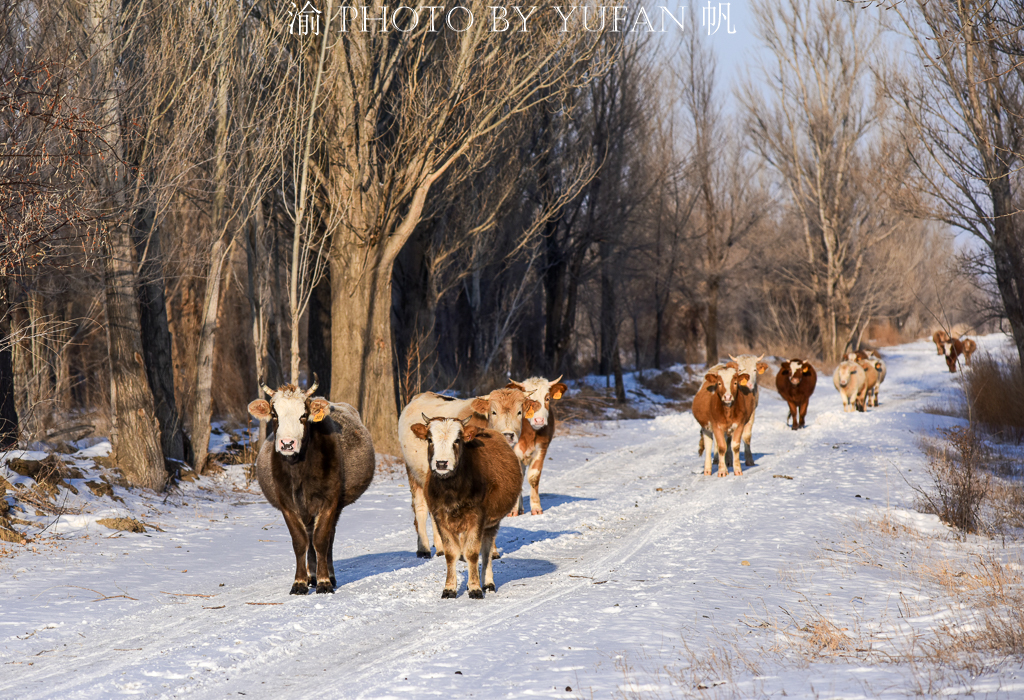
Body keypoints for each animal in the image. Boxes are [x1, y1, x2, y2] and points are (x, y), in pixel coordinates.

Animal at [247, 376, 376, 597]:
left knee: (328, 537)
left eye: (303, 415)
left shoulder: (329, 501)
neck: (298, 471)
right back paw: (311, 576)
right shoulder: (287, 504)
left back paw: (328, 576)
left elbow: (321, 540)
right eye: (275, 415)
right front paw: (299, 582)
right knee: (309, 537)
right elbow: (300, 542)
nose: (287, 443)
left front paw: (324, 582)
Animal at [397, 388, 540, 556]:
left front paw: (491, 551)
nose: (508, 435)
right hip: (413, 473)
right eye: (493, 412)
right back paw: (424, 549)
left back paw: (440, 547)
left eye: (519, 412)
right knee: (420, 508)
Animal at [407, 415, 524, 601]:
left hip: (491, 524)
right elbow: (451, 553)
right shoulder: (441, 519)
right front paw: (449, 588)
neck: (451, 490)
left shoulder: (477, 518)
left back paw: (488, 583)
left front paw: (475, 588)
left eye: (457, 440)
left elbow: (473, 553)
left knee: (486, 551)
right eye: (430, 439)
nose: (441, 463)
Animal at [503, 374, 569, 515]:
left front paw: (536, 508)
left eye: (547, 398)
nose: (539, 420)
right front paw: (512, 511)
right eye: (527, 399)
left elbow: (533, 477)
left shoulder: (541, 449)